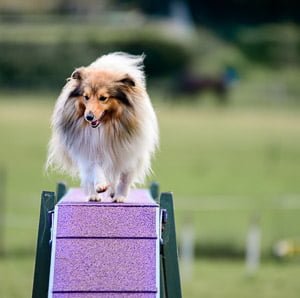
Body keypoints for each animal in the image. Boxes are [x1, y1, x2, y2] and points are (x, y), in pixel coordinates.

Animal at [45, 53, 158, 203]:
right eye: (86, 97)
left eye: (103, 98)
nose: (89, 117)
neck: (106, 126)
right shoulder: (90, 149)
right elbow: (95, 169)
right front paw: (100, 187)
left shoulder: (129, 152)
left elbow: (124, 177)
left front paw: (120, 196)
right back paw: (94, 195)